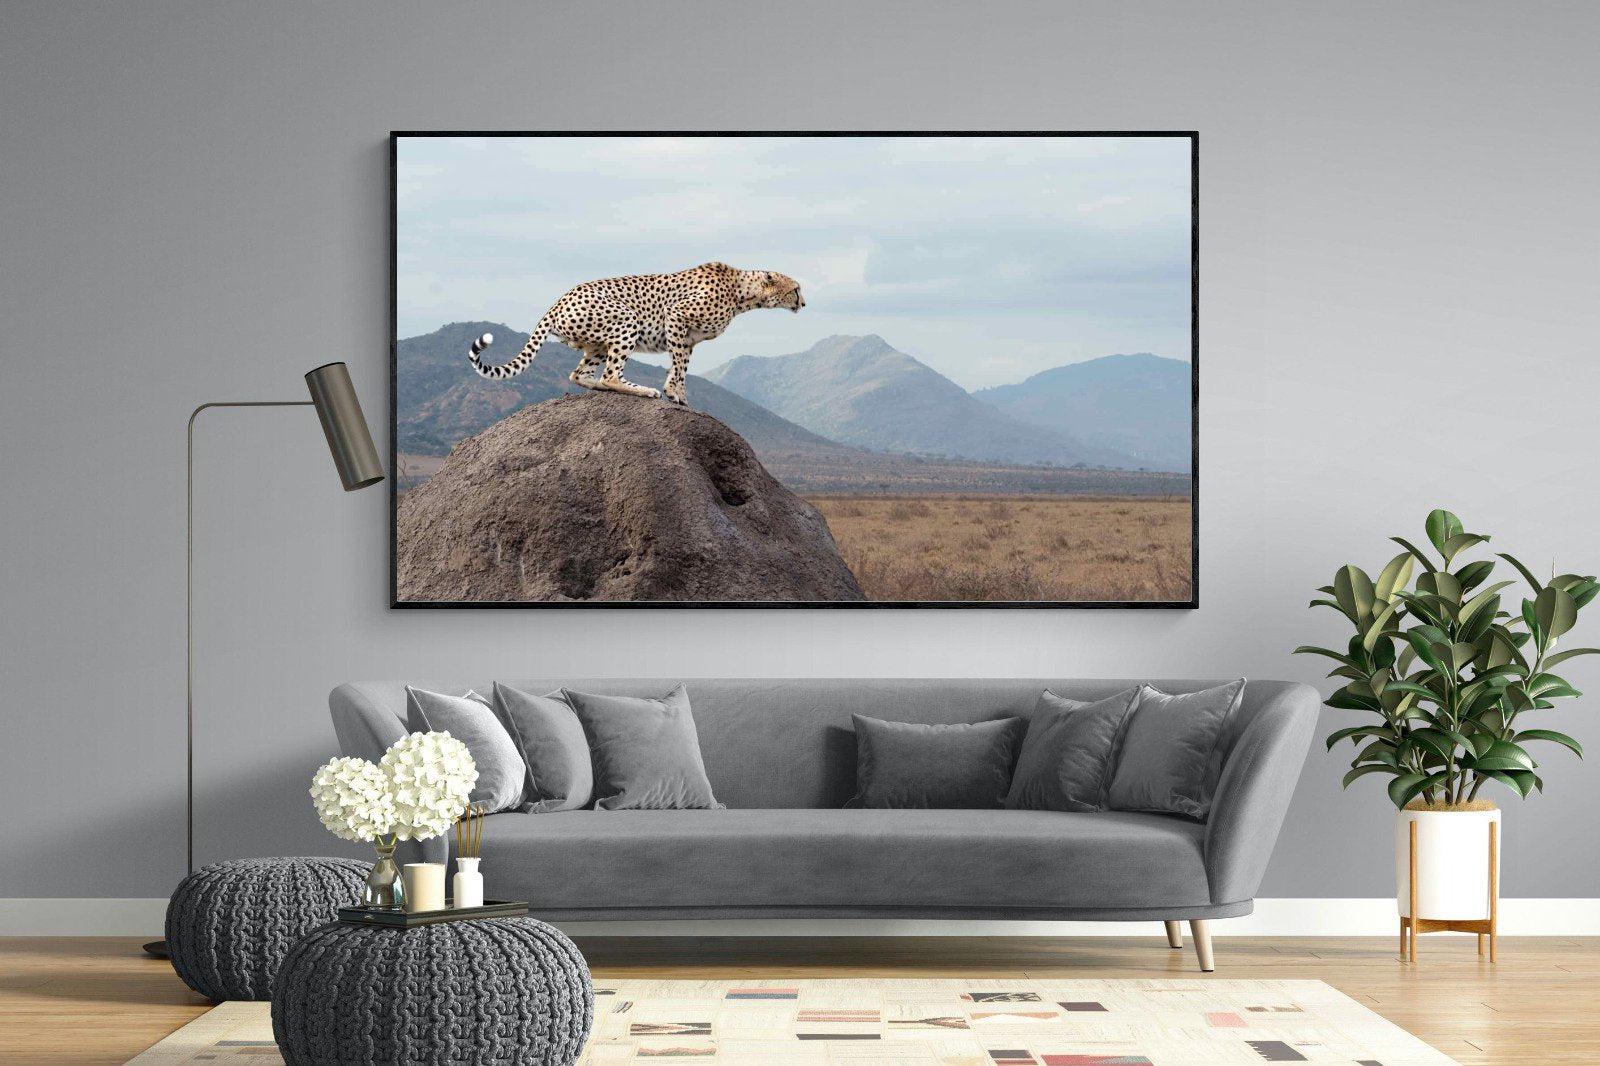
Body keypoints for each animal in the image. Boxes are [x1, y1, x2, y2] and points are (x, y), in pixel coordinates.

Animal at [466, 262, 804, 406]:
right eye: (796, 289)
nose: (803, 303)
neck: (742, 292)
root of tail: (560, 299)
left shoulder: (688, 338)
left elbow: (681, 367)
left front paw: (679, 394)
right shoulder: (676, 317)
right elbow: (678, 366)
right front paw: (672, 393)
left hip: (597, 344)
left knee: (581, 374)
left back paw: (603, 388)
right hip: (627, 320)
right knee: (610, 375)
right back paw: (642, 390)